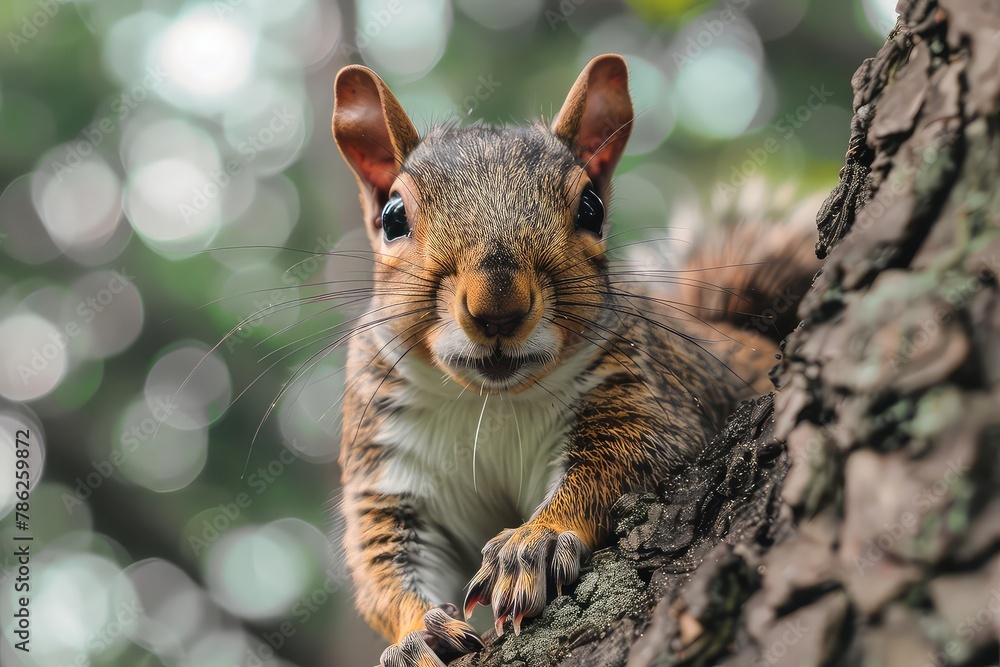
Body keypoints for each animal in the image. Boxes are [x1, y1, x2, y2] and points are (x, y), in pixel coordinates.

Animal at [330, 54, 819, 667]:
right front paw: (418, 632)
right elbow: (385, 566)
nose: (498, 306)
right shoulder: (391, 470)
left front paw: (532, 542)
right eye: (394, 216)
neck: (493, 401)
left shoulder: (641, 398)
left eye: (592, 207)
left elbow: (616, 465)